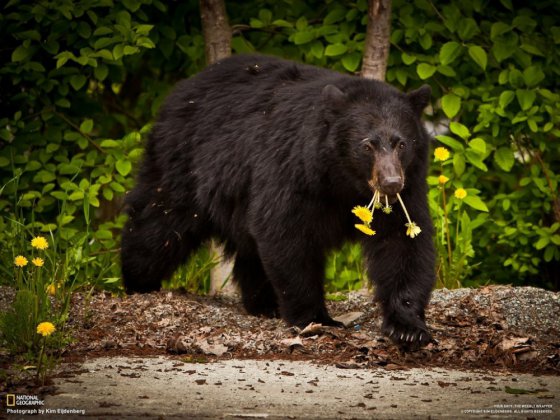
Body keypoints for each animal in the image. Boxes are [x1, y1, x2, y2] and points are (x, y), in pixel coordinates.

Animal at [122, 53, 436, 348]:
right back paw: (138, 282)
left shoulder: (408, 188)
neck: (342, 181)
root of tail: (182, 88)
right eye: (367, 145)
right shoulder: (294, 170)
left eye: (402, 143)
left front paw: (407, 326)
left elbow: (402, 242)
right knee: (160, 223)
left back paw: (263, 304)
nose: (391, 183)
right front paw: (316, 318)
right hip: (184, 161)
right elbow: (286, 232)